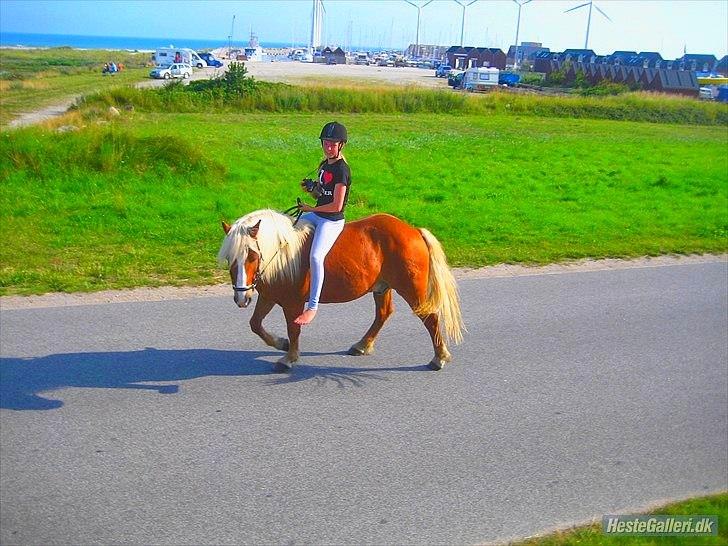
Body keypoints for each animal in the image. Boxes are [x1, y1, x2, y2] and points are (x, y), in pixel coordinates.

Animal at [218, 208, 466, 370]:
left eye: (252, 255)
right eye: (230, 257)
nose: (241, 297)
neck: (282, 254)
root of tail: (413, 231)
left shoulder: (293, 303)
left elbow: (293, 329)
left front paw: (289, 357)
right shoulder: (269, 296)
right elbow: (255, 324)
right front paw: (281, 344)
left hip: (411, 289)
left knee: (430, 317)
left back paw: (439, 357)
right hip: (382, 287)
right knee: (383, 314)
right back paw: (362, 345)